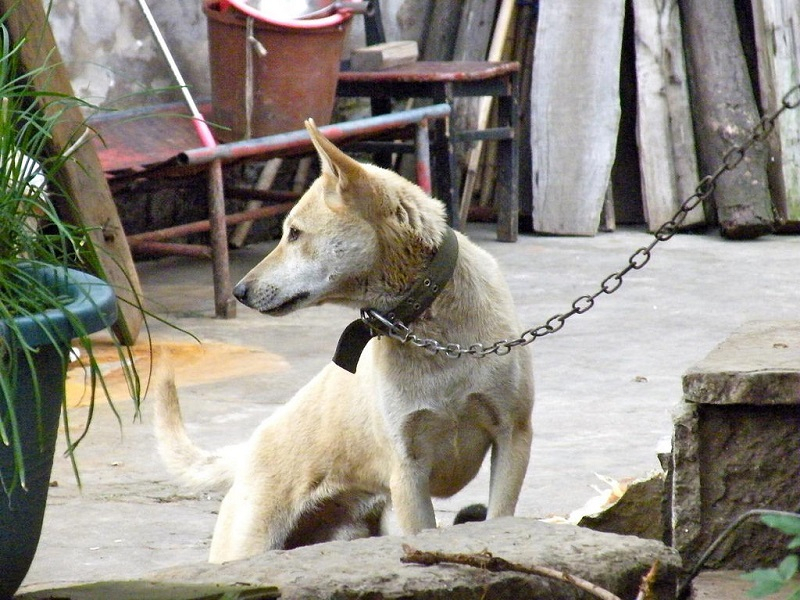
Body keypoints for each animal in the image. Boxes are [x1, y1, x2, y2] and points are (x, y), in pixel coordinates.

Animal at [153, 120, 536, 564]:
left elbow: (500, 514)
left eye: (295, 234)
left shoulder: (513, 437)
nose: (239, 292)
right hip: (249, 543)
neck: (431, 332)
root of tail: (247, 450)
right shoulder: (407, 470)